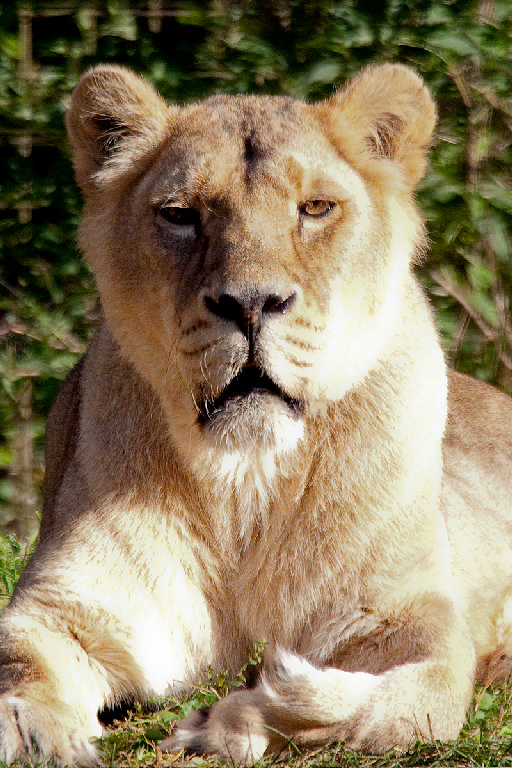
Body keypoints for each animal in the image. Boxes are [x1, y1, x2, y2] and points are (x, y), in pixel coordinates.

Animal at [0, 62, 511, 766]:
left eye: (315, 209)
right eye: (180, 216)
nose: (249, 303)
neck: (246, 480)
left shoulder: (408, 612)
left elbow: (414, 702)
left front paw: (233, 716)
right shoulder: (66, 603)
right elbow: (18, 658)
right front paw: (33, 727)